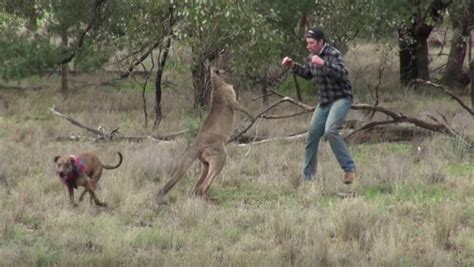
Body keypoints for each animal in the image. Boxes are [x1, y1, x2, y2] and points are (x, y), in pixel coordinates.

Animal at [158, 67, 254, 201]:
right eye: (224, 71)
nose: (228, 72)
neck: (218, 84)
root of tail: (196, 144)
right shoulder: (231, 99)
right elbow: (241, 107)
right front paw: (252, 116)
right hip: (219, 154)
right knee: (206, 181)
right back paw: (207, 197)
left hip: (205, 161)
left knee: (201, 181)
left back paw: (199, 195)